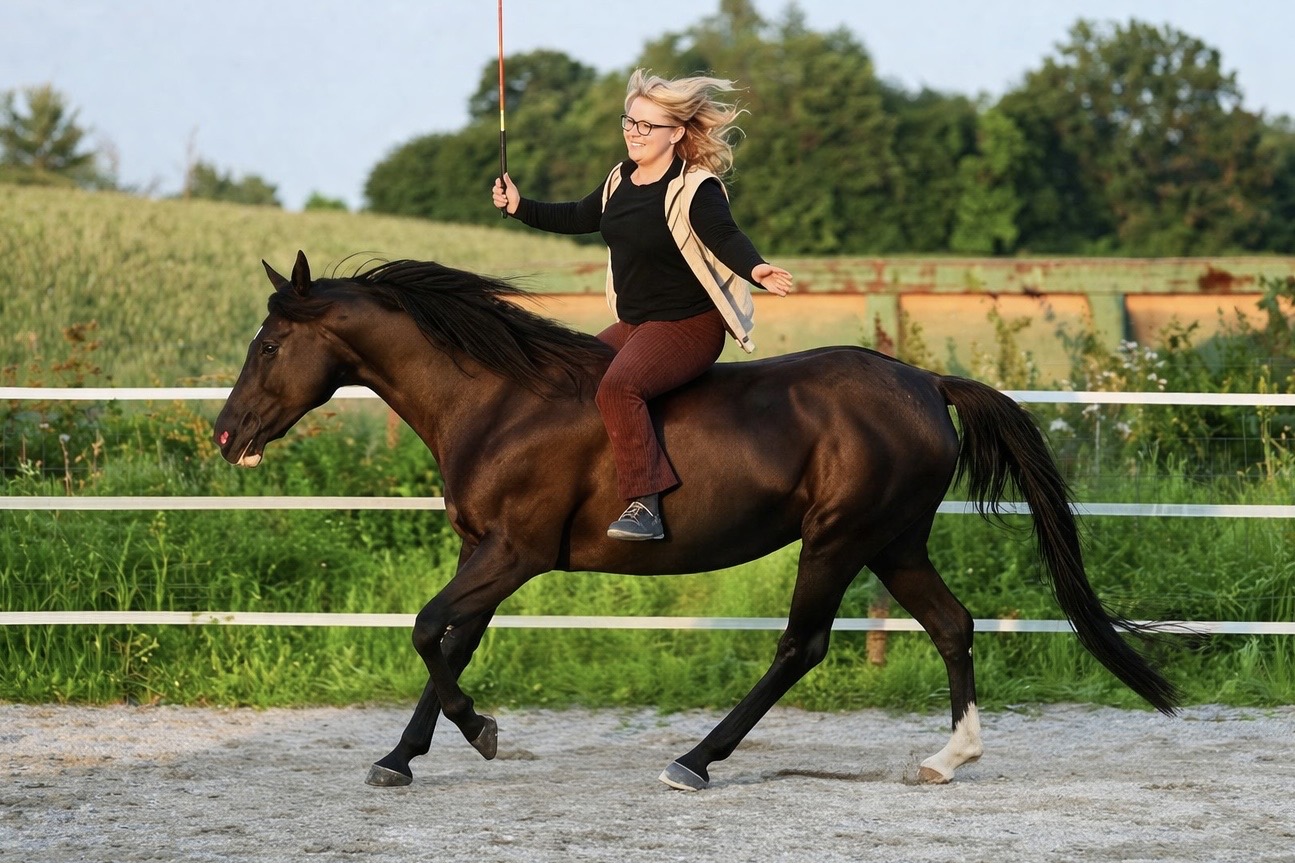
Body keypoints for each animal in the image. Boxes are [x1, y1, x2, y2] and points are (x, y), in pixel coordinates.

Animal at [213, 251, 1179, 790]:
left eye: (270, 344)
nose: (225, 433)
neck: (500, 399)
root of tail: (922, 380)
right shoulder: (485, 553)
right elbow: (450, 642)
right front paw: (402, 757)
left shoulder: (514, 552)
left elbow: (425, 631)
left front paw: (480, 732)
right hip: (893, 542)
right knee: (952, 623)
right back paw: (948, 758)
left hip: (837, 538)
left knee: (800, 646)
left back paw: (695, 759)